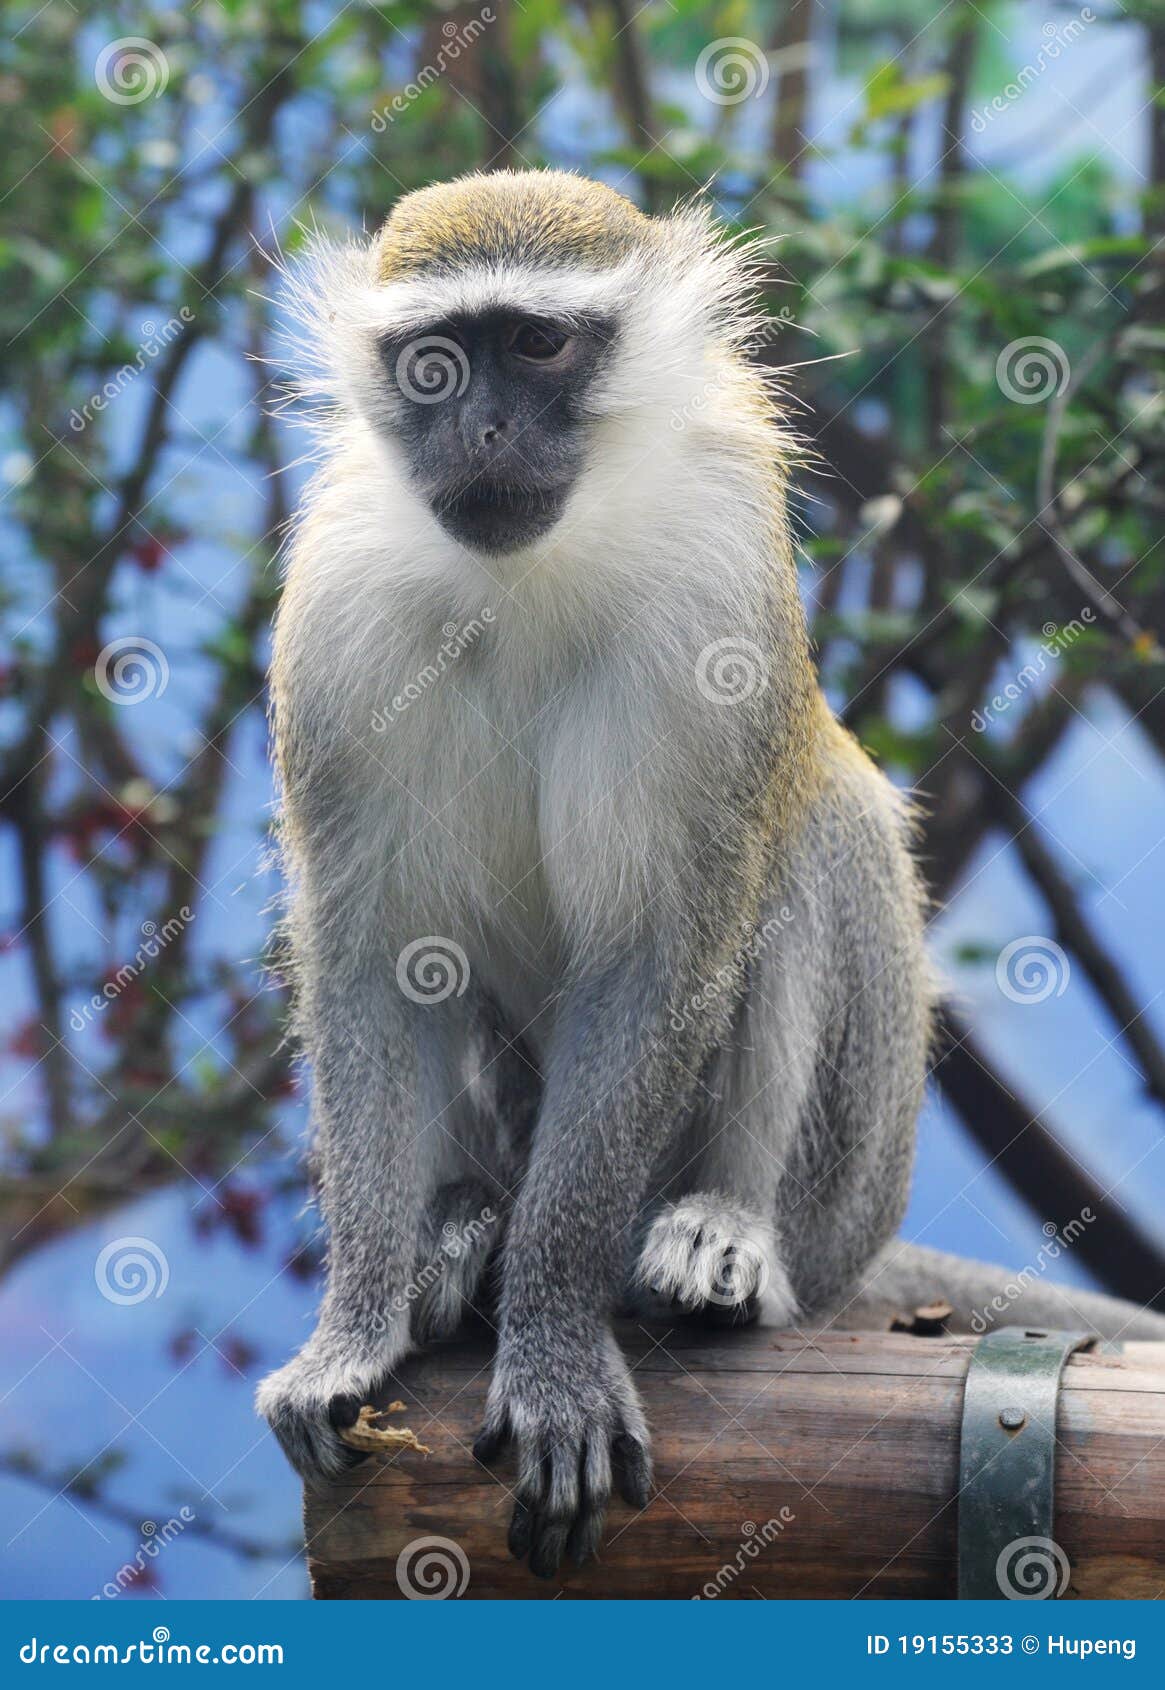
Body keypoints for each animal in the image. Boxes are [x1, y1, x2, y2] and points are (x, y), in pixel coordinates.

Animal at [256, 169, 936, 1579]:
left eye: (538, 344)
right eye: (435, 362)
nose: (484, 429)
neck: (523, 580)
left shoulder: (718, 584)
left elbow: (661, 951)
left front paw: (556, 1351)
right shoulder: (334, 619)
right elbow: (371, 960)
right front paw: (352, 1328)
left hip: (847, 1201)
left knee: (815, 837)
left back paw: (713, 1238)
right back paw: (458, 1227)